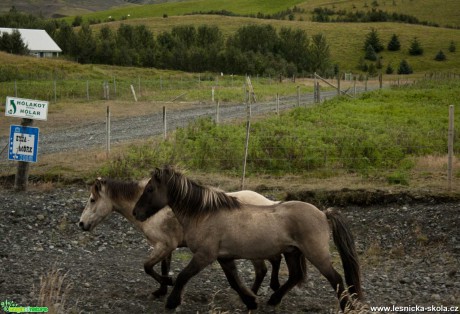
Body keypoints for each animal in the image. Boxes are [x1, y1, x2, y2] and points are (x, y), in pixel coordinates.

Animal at [80, 178, 284, 298]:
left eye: (92, 200)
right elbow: (163, 267)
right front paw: (161, 290)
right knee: (270, 264)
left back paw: (253, 293)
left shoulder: (163, 245)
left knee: (264, 268)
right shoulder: (167, 248)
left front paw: (167, 283)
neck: (153, 210)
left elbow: (148, 267)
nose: (81, 224)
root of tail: (271, 203)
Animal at [133, 167, 362, 312]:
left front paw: (171, 301)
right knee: (295, 276)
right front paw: (250, 301)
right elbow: (234, 281)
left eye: (150, 189)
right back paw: (273, 299)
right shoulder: (224, 258)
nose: (136, 213)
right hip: (292, 252)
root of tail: (323, 213)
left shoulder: (204, 256)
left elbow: (182, 276)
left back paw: (347, 307)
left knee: (336, 279)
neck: (205, 214)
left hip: (316, 254)